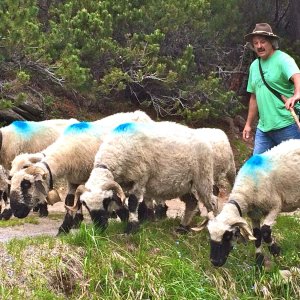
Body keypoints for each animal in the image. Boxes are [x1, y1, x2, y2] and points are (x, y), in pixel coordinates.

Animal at [8, 110, 152, 234]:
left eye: (26, 184)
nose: (17, 212)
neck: (68, 152)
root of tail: (141, 113)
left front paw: (124, 217)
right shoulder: (73, 180)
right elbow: (71, 201)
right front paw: (67, 227)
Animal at [73, 120, 217, 233]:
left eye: (106, 201)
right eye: (85, 205)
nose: (100, 228)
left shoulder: (140, 178)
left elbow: (132, 203)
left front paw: (131, 228)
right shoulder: (126, 184)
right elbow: (136, 204)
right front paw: (146, 223)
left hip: (203, 179)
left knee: (213, 202)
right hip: (185, 185)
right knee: (192, 203)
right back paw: (182, 228)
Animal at [206, 138, 300, 268]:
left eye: (228, 236)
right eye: (210, 235)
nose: (215, 262)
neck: (245, 191)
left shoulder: (275, 206)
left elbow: (265, 232)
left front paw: (276, 250)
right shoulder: (254, 215)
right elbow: (257, 235)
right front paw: (259, 262)